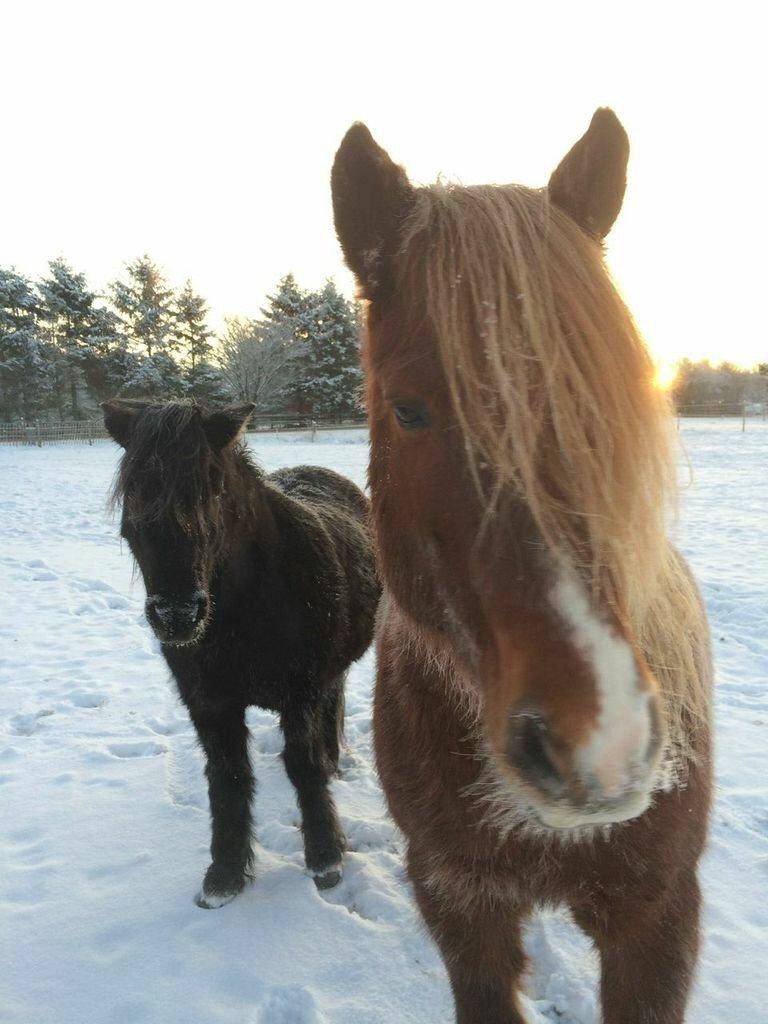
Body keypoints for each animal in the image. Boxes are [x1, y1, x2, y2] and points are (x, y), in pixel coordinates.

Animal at [102, 399, 378, 905]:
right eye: (132, 486)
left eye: (214, 483)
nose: (176, 614)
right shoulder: (210, 704)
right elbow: (227, 778)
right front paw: (225, 873)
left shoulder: (300, 693)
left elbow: (304, 766)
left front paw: (325, 857)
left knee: (332, 707)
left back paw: (333, 760)